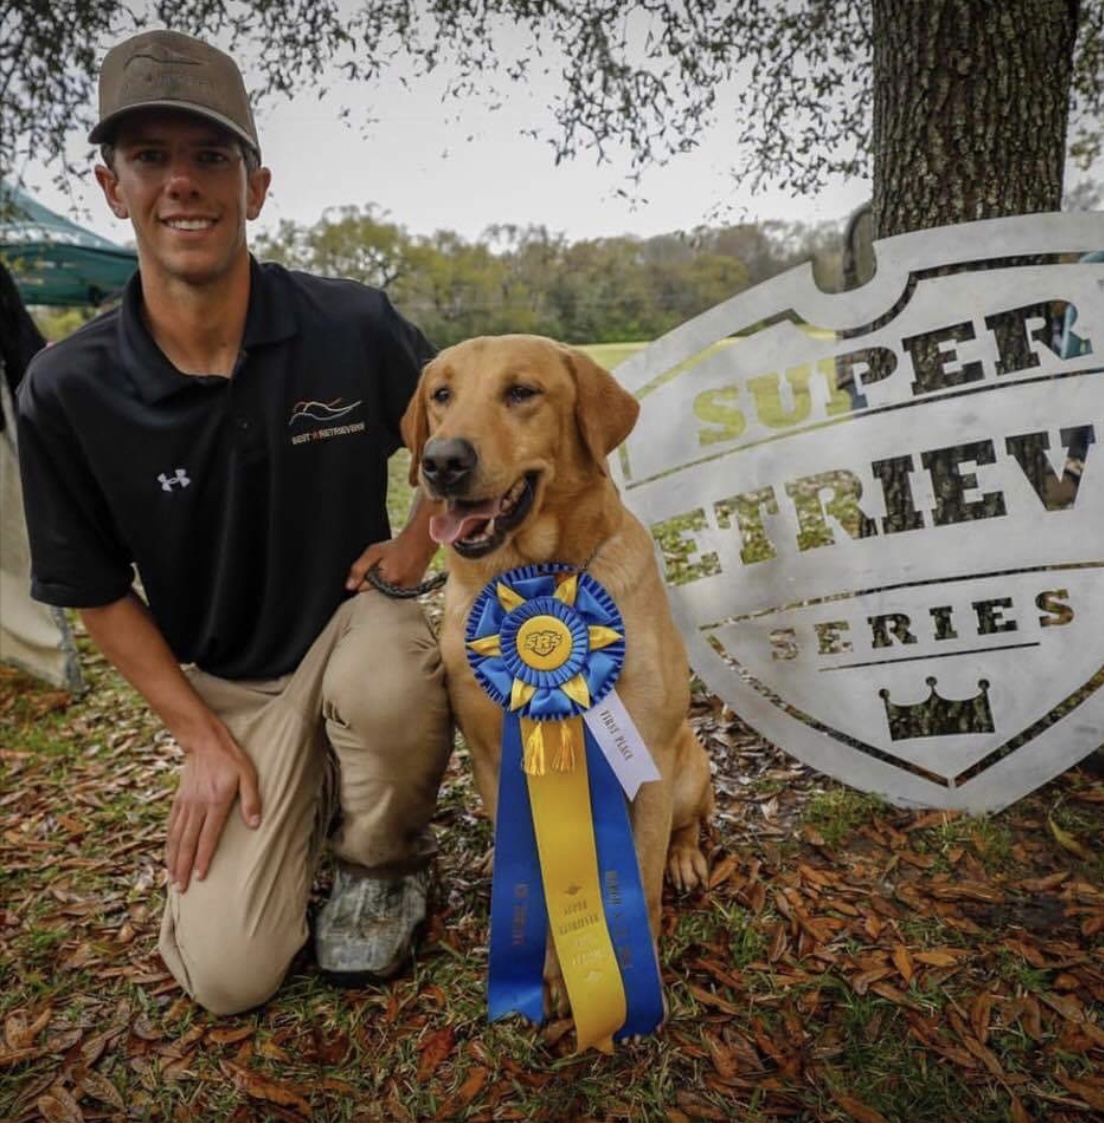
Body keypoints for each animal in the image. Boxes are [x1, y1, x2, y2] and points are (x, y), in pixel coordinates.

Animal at [400, 333, 711, 1021]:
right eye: (442, 394)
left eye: (522, 392)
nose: (441, 461)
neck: (534, 579)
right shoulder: (495, 758)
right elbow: (540, 876)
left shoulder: (646, 757)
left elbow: (641, 875)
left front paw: (628, 977)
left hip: (688, 768)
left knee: (688, 825)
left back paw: (686, 858)